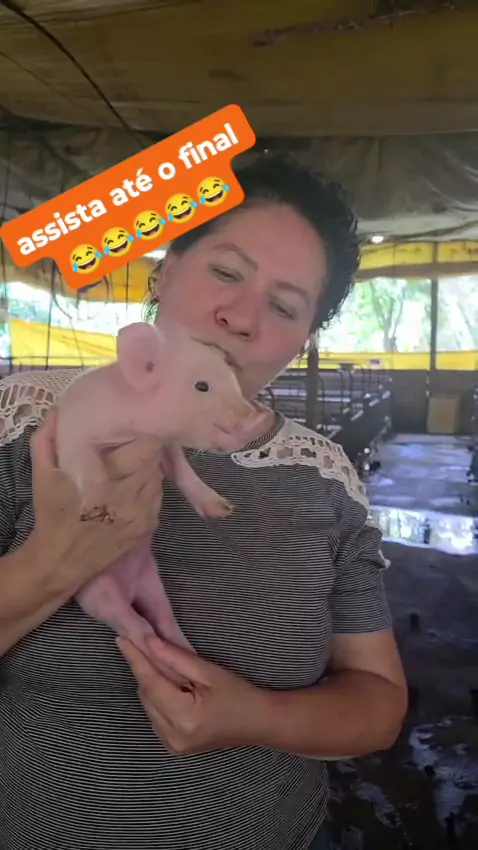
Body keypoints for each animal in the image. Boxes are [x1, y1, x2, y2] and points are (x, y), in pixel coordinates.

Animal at [54, 321, 271, 678]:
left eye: (232, 380)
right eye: (201, 386)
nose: (258, 418)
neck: (134, 428)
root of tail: (129, 588)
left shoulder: (166, 446)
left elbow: (182, 471)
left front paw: (223, 509)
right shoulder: (73, 437)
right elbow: (88, 466)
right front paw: (98, 513)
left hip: (151, 579)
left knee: (164, 619)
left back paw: (189, 663)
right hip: (96, 594)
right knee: (139, 630)